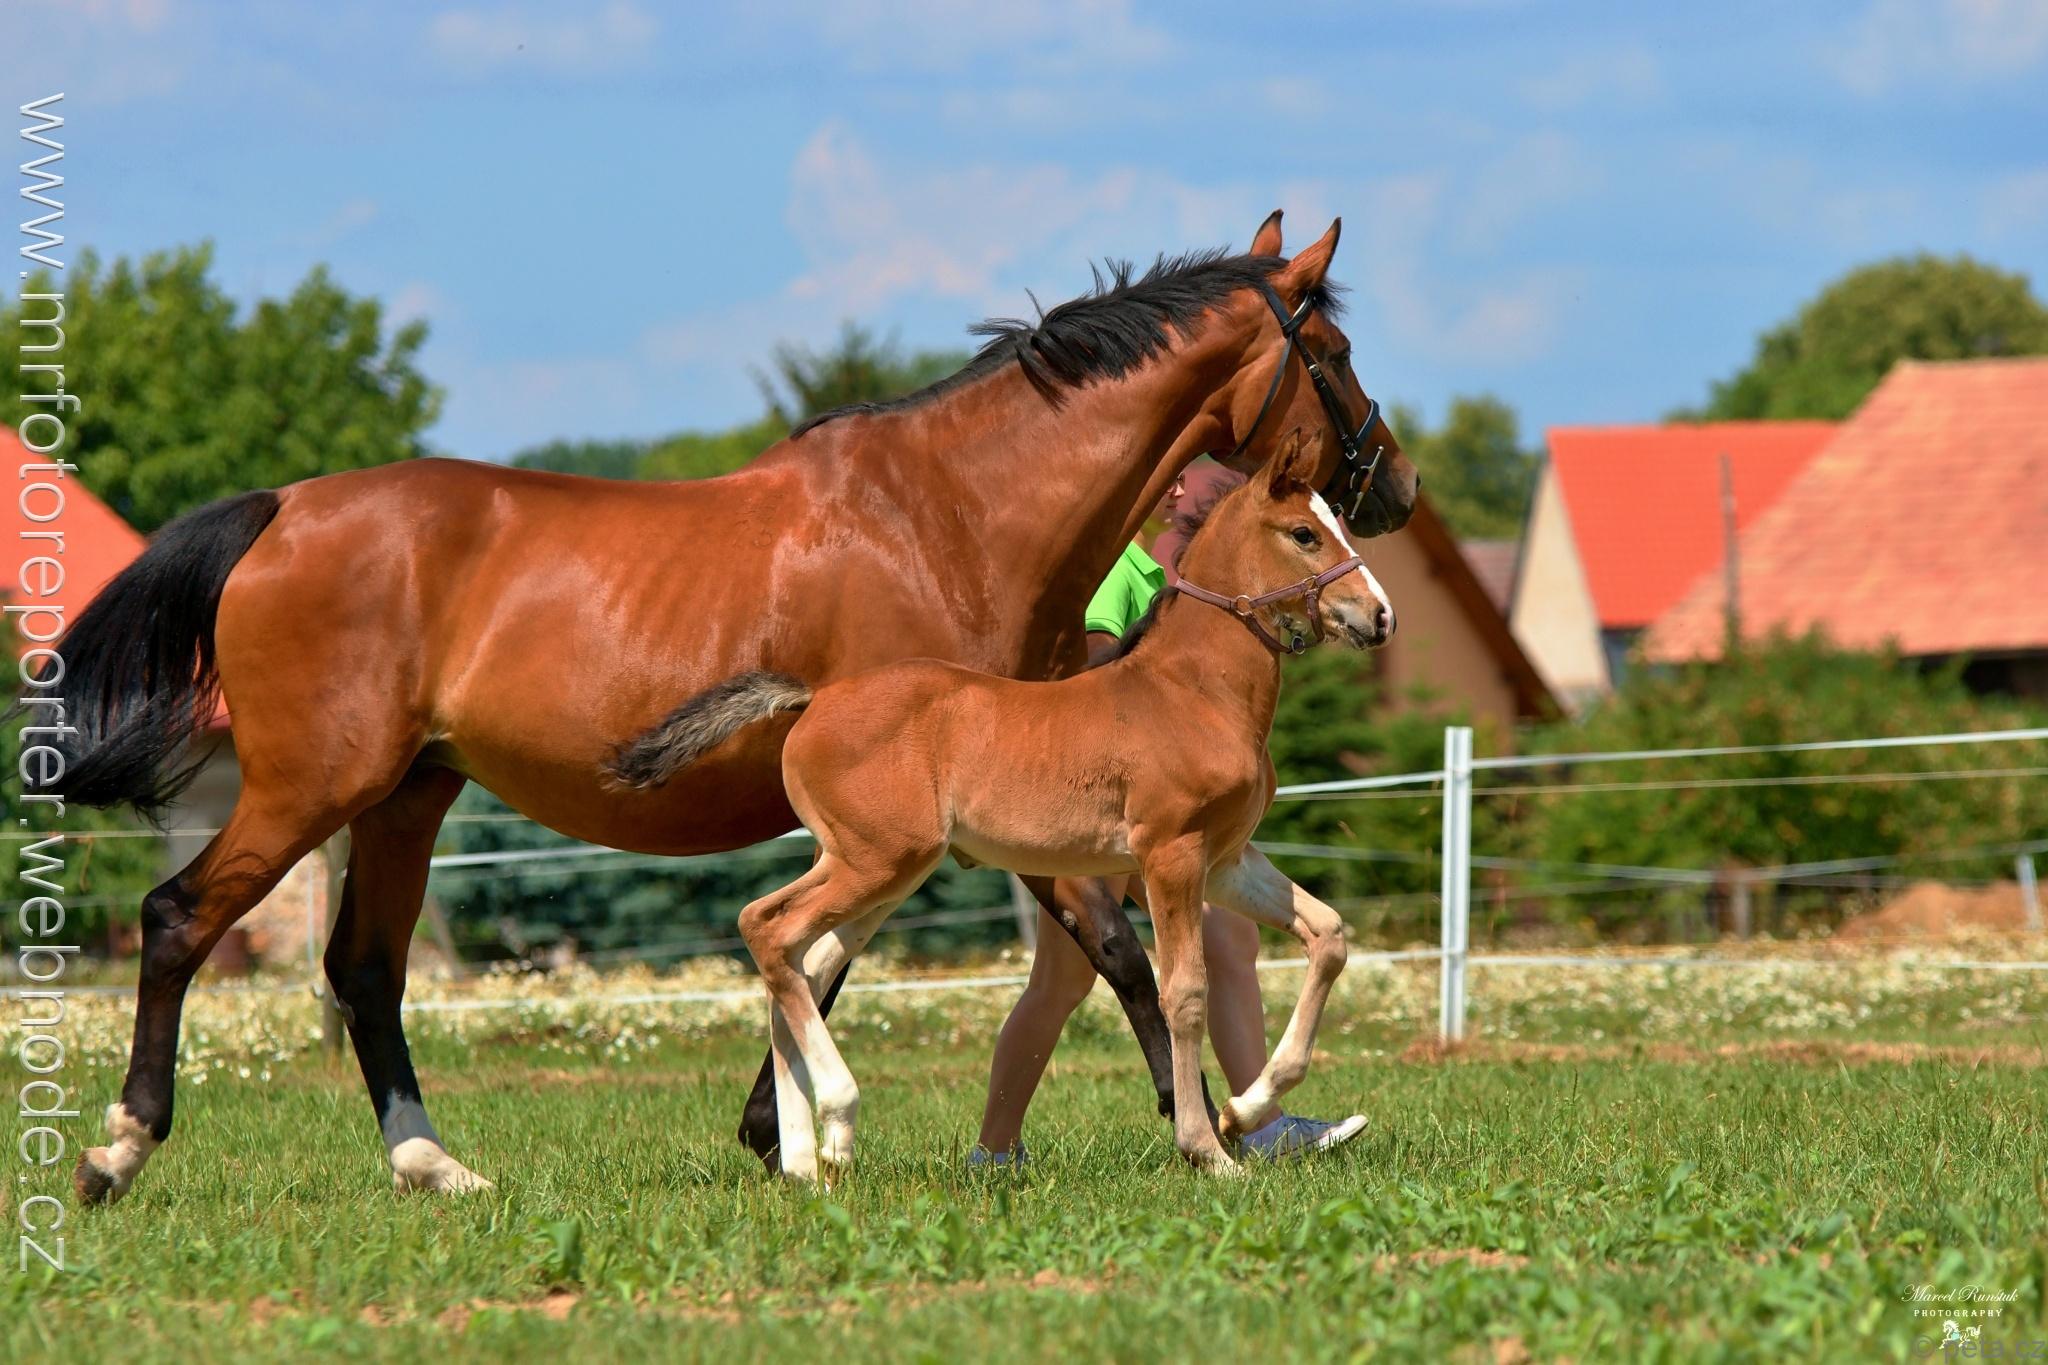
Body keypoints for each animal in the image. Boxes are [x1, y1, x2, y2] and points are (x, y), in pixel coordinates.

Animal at [616, 428, 1390, 1180]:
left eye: (1336, 521)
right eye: (1304, 533)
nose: (1379, 617)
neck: (1193, 690)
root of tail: (813, 700)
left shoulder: (1226, 859)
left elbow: (1328, 935)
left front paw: (1243, 1111)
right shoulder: (1171, 854)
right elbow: (1185, 992)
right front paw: (1209, 1150)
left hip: (877, 871)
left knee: (803, 959)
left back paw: (810, 1159)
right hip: (875, 860)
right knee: (768, 927)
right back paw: (837, 1116)